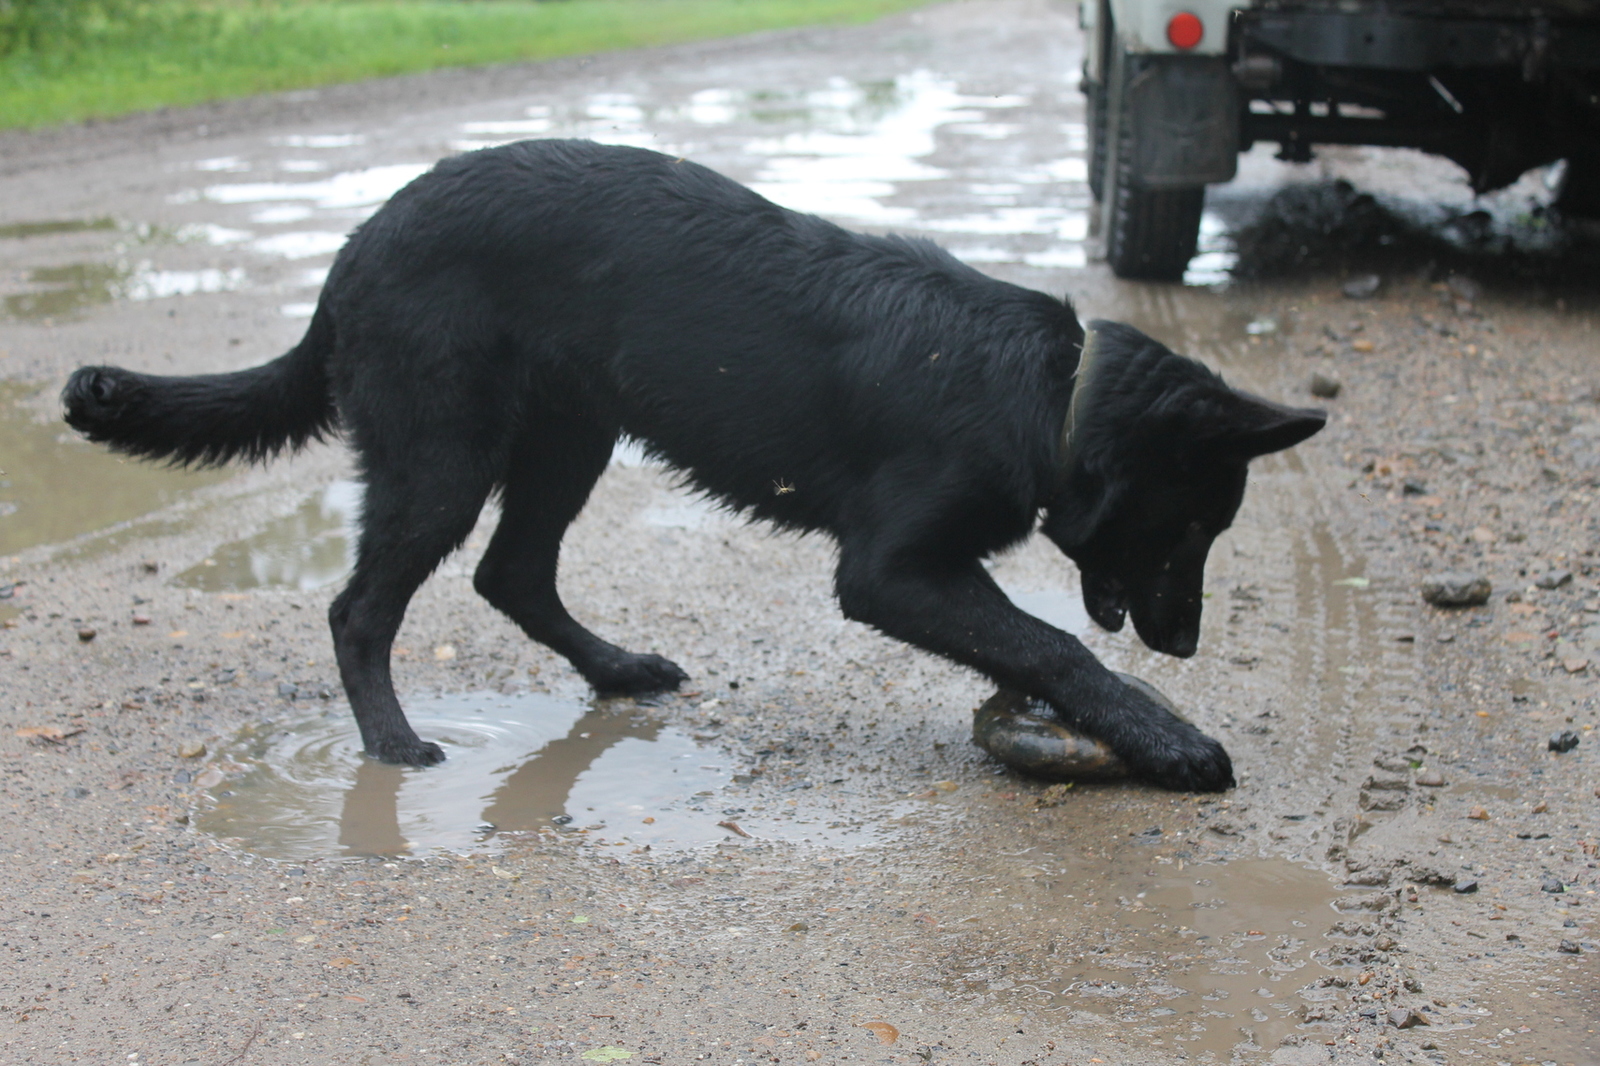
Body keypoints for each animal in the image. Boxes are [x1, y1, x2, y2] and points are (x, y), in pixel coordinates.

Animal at [62, 139, 1318, 787]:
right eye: (1193, 525)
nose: (1186, 644)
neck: (1054, 391)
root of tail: (355, 245)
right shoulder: (893, 572)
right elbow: (1050, 639)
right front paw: (1163, 736)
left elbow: (1034, 641)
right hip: (443, 453)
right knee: (361, 606)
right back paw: (392, 741)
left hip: (569, 438)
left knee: (511, 575)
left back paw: (615, 671)